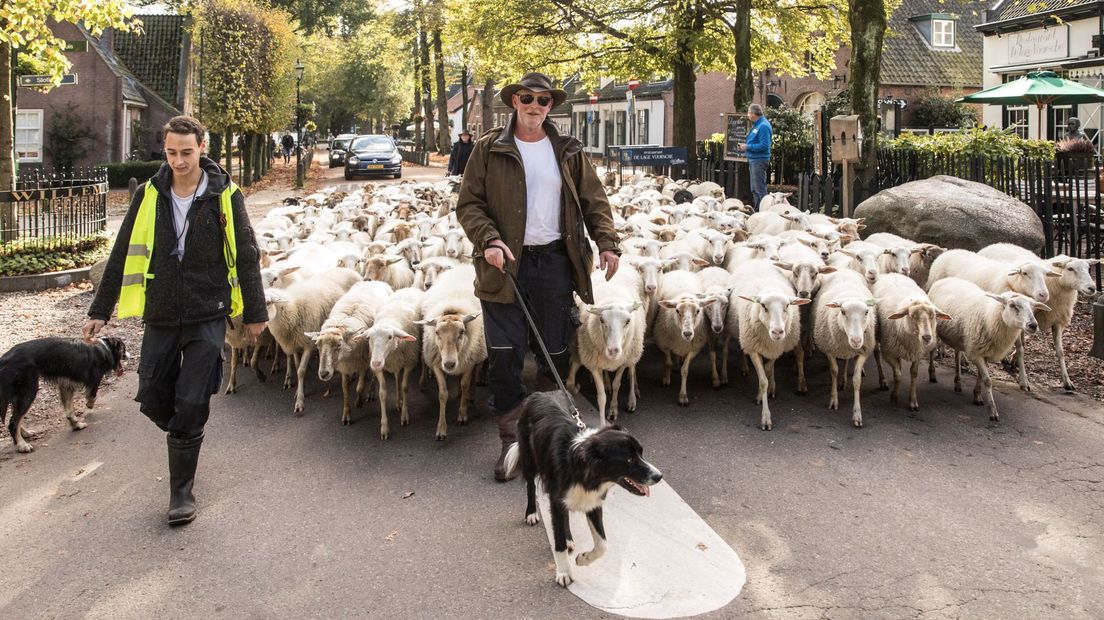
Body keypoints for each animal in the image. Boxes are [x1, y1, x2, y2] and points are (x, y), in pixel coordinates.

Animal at [927, 275, 1046, 417]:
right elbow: (988, 380)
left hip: (958, 335)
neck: (990, 317)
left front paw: (977, 395)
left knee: (957, 355)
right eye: (1012, 305)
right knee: (932, 351)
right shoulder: (976, 353)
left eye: (1032, 307)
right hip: (935, 330)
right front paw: (992, 411)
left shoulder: (986, 353)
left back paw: (958, 382)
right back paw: (932, 374)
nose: (1033, 325)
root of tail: (945, 279)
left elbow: (981, 376)